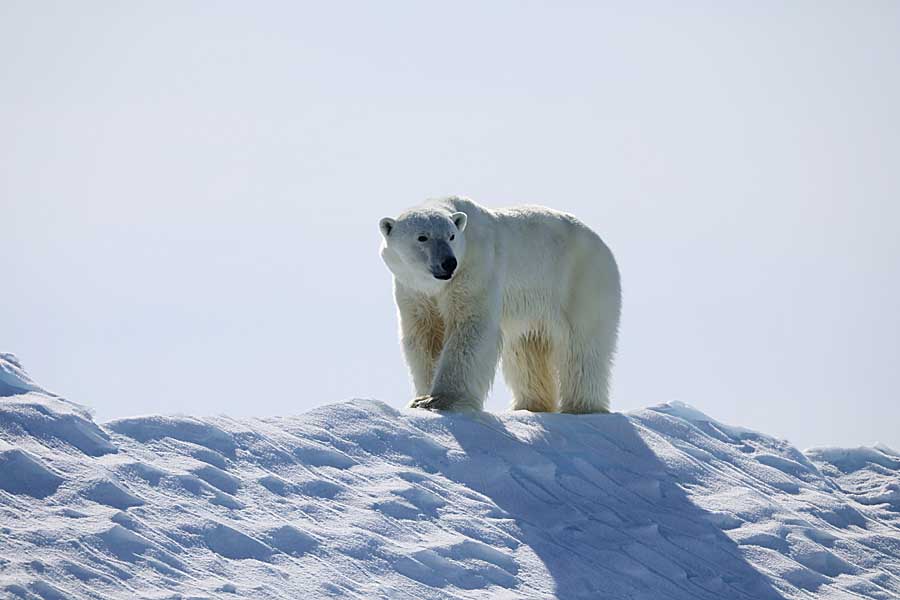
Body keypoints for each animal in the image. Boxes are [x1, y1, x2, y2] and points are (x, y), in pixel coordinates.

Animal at [378, 197, 620, 412]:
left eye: (451, 236)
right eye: (422, 237)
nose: (448, 263)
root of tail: (602, 243)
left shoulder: (475, 268)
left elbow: (470, 326)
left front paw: (440, 400)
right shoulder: (413, 290)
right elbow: (424, 335)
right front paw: (420, 398)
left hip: (582, 282)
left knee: (582, 348)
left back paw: (582, 407)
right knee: (526, 350)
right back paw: (530, 404)